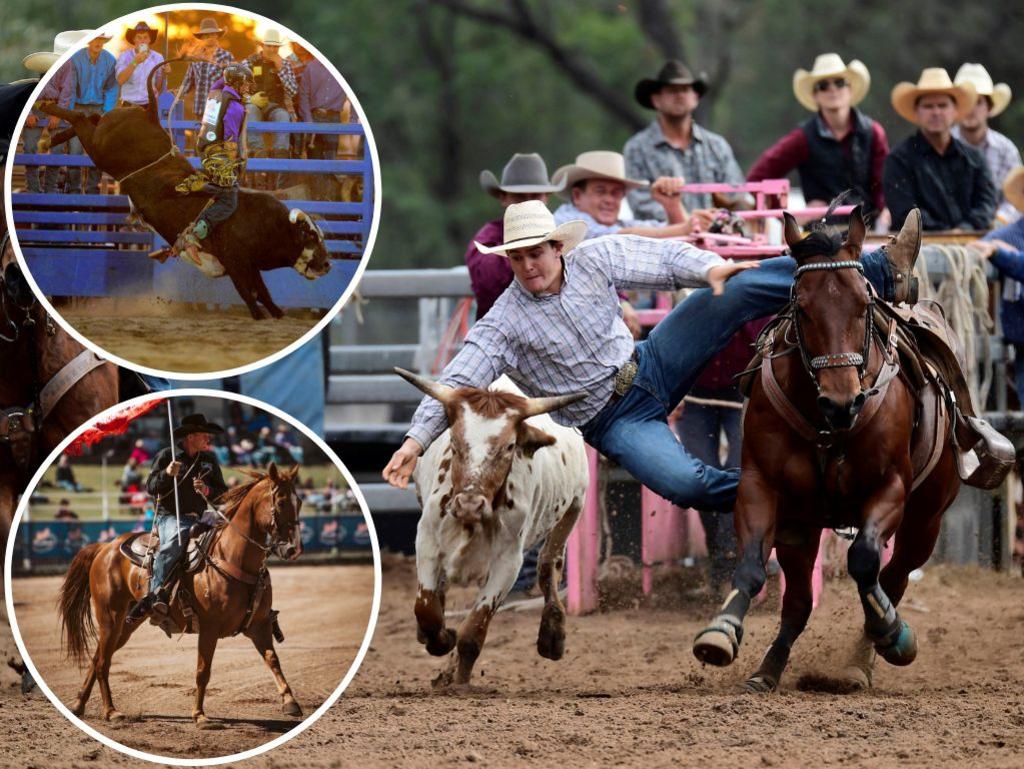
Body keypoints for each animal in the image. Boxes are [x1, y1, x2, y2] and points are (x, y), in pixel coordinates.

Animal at [37, 59, 327, 319]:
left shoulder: (249, 264)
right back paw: (46, 115)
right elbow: (249, 293)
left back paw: (52, 136)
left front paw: (277, 314)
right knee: (80, 117)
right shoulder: (235, 260)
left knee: (90, 117)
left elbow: (262, 292)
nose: (327, 264)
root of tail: (150, 114)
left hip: (101, 137)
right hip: (101, 148)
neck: (267, 223)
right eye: (309, 236)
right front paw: (260, 315)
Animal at [59, 462, 303, 729]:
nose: (293, 548)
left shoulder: (258, 625)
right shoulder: (209, 628)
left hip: (126, 624)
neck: (231, 556)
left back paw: (79, 705)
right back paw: (111, 711)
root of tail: (105, 547)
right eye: (281, 502)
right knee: (103, 661)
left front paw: (290, 702)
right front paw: (200, 715)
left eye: (299, 501)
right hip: (109, 617)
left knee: (97, 657)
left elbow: (273, 659)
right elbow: (203, 670)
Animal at [692, 205, 962, 692]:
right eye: (802, 307)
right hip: (802, 527)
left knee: (893, 576)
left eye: (863, 303)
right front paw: (720, 633)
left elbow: (865, 560)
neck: (827, 425)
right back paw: (768, 669)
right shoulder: (763, 488)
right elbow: (751, 565)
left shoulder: (891, 487)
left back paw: (864, 657)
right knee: (799, 600)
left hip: (926, 520)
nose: (842, 402)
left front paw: (890, 631)